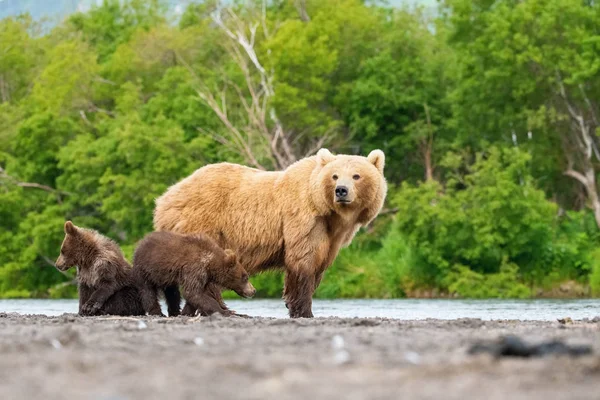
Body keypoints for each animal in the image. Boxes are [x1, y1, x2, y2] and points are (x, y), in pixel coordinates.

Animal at [155, 148, 386, 318]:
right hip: (203, 223)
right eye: (335, 176)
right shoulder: (303, 219)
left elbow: (318, 264)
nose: (341, 190)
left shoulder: (331, 237)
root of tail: (165, 197)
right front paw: (304, 310)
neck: (330, 214)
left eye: (356, 175)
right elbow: (303, 261)